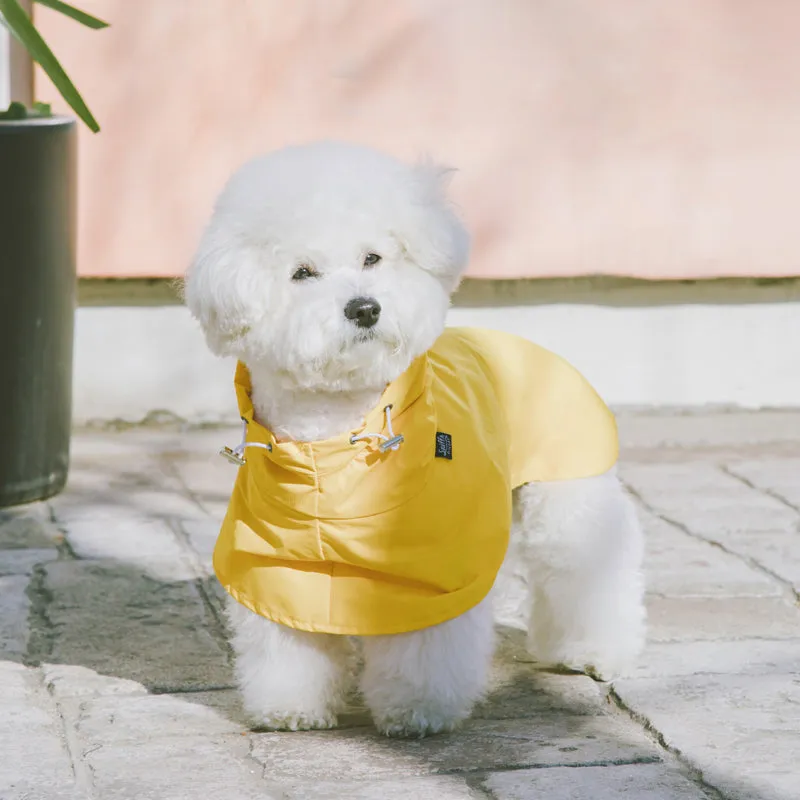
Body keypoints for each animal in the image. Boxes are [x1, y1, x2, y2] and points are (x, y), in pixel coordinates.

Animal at [184, 139, 648, 736]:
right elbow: (288, 632)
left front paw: (417, 709)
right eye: (302, 273)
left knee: (585, 568)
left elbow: (424, 639)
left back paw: (593, 651)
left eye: (372, 259)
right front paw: (291, 707)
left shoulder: (434, 562)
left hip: (569, 492)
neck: (335, 439)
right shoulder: (275, 559)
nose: (364, 308)